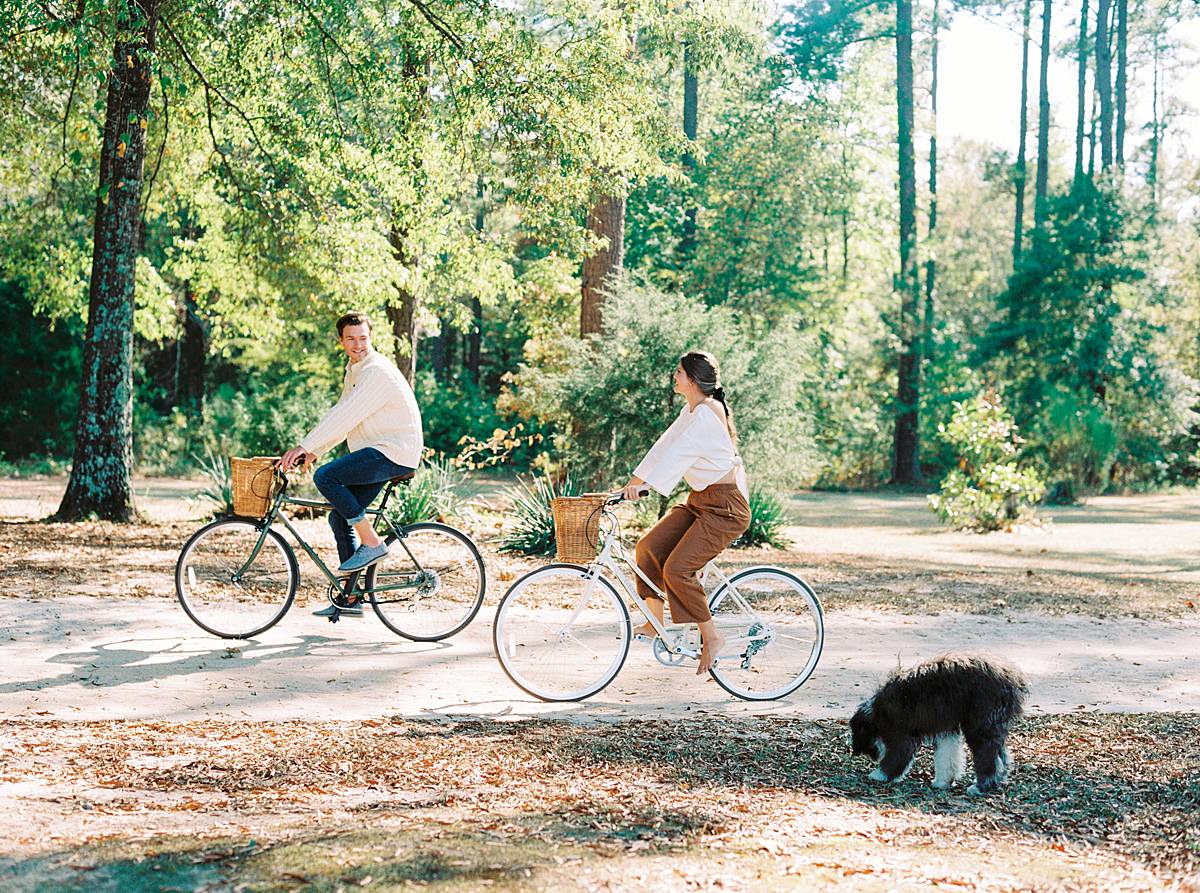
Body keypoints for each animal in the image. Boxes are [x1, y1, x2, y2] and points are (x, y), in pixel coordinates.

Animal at [849, 652, 1027, 792]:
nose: (856, 751)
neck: (877, 711)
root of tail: (1013, 680)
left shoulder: (901, 734)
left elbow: (897, 756)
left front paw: (880, 774)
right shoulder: (947, 729)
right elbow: (947, 756)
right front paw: (943, 782)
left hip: (980, 724)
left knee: (988, 755)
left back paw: (981, 786)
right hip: (993, 725)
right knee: (1001, 756)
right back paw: (997, 781)